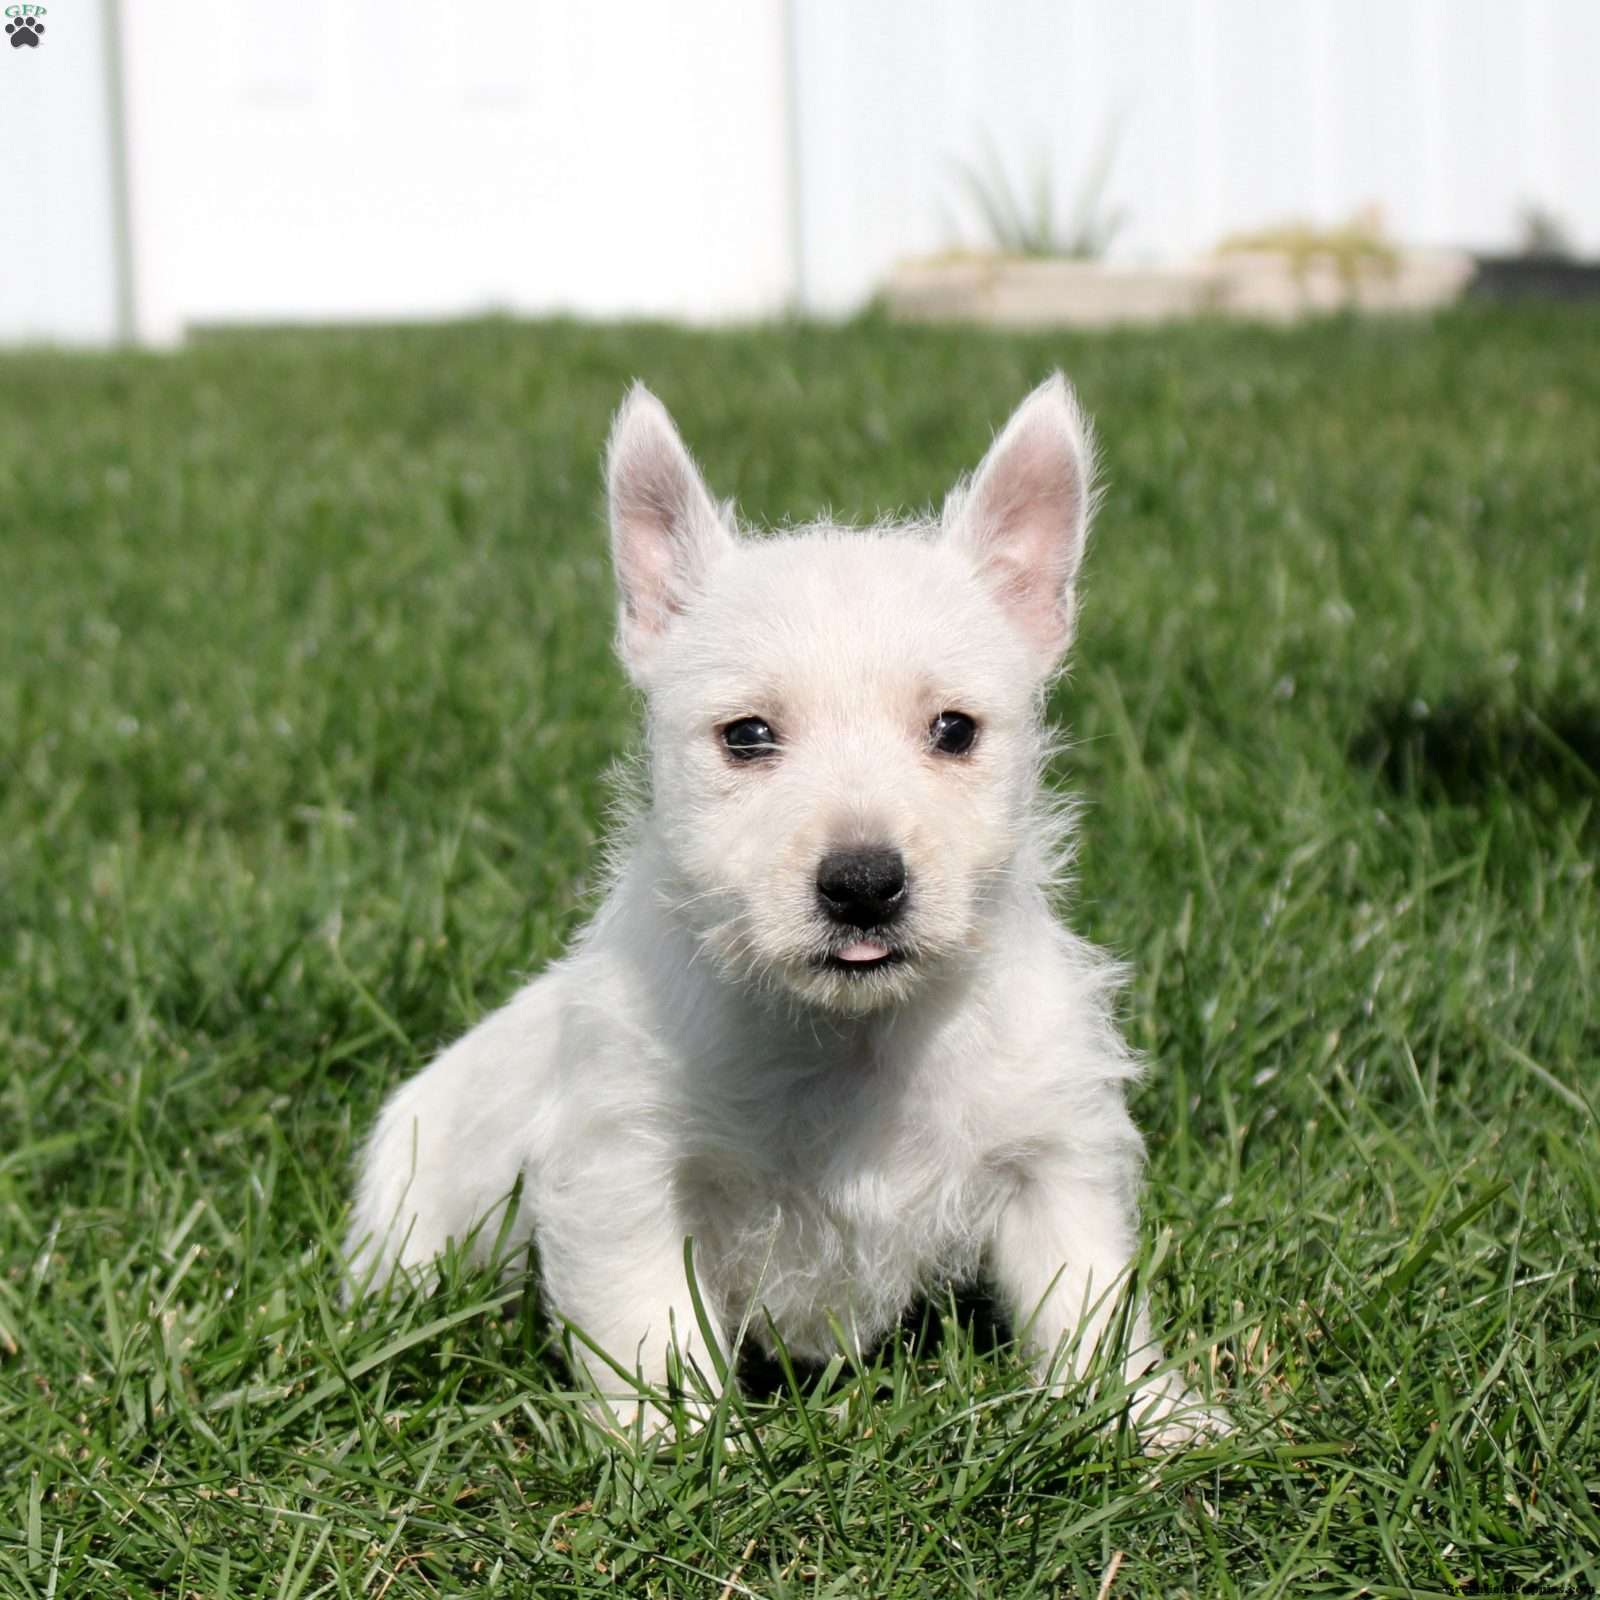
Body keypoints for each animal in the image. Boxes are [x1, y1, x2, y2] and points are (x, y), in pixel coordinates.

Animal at [350, 377, 1216, 1452]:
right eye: (748, 735)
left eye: (955, 729)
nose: (863, 883)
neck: (851, 1040)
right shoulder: (625, 1174)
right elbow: (652, 1333)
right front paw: (676, 1455)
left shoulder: (1052, 1156)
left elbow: (1087, 1302)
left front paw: (1151, 1420)